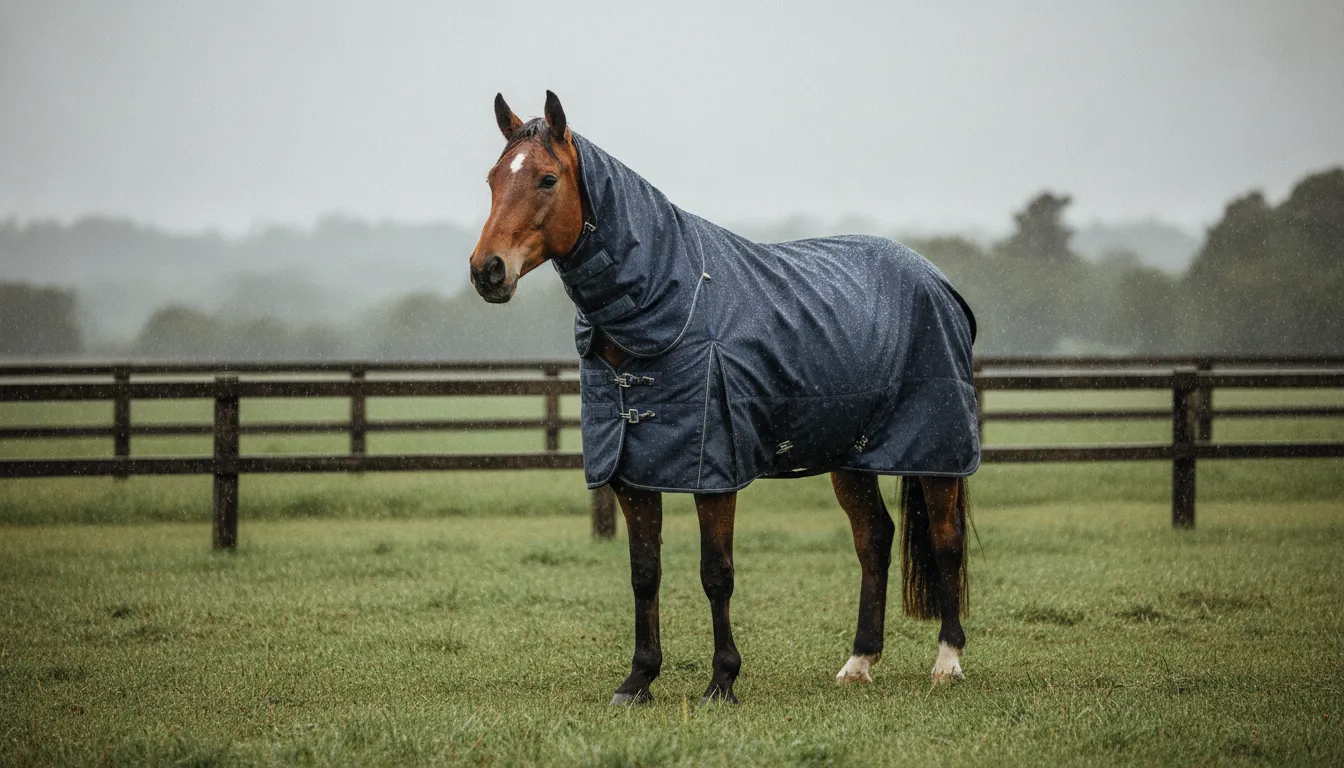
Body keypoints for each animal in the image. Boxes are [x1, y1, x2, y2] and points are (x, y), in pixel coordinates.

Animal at [470, 91, 978, 705]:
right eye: (493, 178)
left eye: (546, 179)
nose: (487, 270)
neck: (671, 302)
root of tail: (938, 282)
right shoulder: (632, 474)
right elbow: (644, 574)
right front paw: (638, 679)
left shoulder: (713, 471)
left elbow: (717, 573)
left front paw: (722, 681)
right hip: (850, 456)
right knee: (874, 539)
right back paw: (859, 662)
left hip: (938, 450)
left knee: (946, 540)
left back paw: (948, 661)